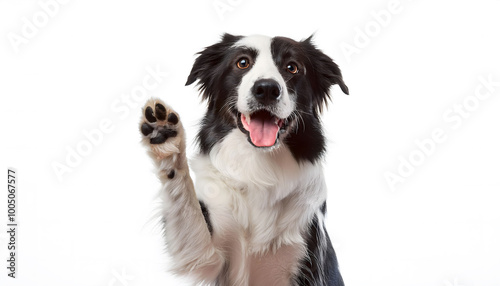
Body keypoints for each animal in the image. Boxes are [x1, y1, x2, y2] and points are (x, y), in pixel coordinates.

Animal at [139, 32, 350, 284]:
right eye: (242, 63)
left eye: (292, 67)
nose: (267, 89)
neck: (259, 165)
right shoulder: (208, 257)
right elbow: (185, 203)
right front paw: (166, 141)